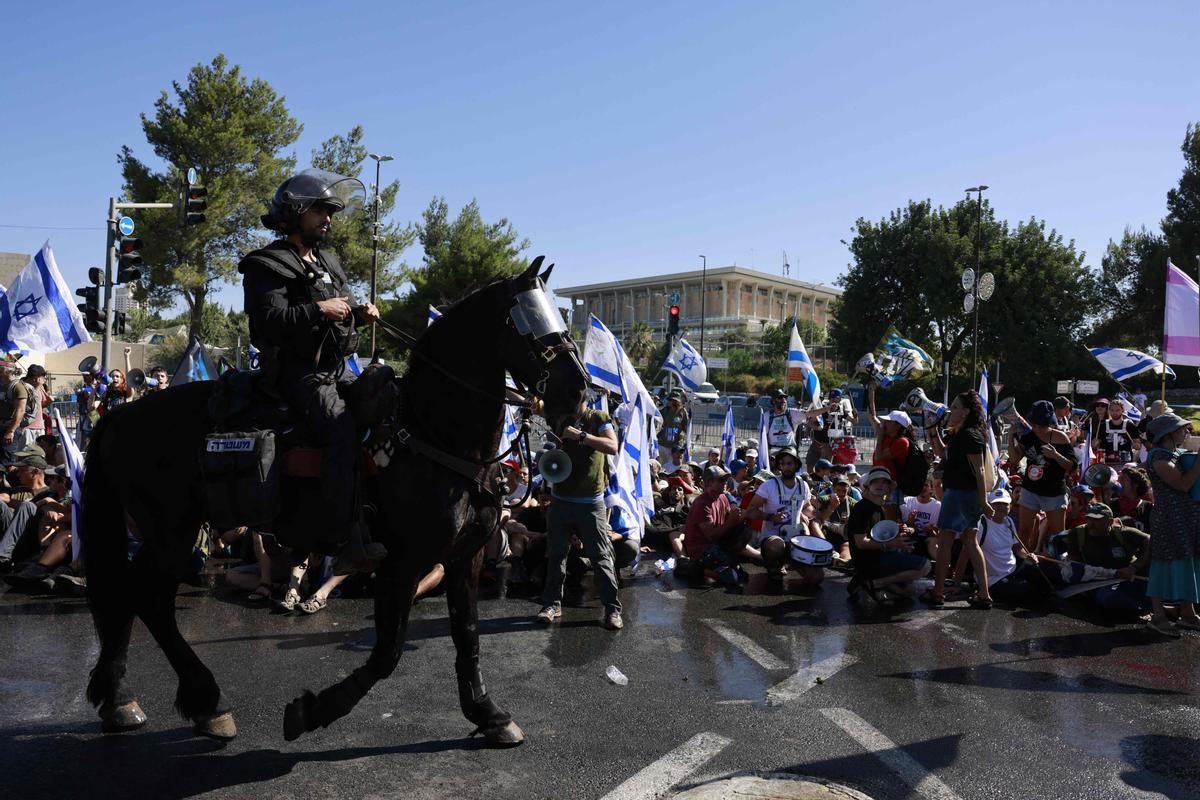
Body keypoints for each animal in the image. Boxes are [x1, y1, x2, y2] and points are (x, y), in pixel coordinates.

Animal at [82, 260, 588, 748]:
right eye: (526, 321)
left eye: (558, 315)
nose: (580, 392)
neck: (429, 434)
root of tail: (120, 415)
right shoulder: (403, 562)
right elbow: (387, 653)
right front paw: (313, 711)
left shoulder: (465, 556)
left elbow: (467, 636)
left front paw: (488, 714)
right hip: (171, 529)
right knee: (148, 597)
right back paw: (203, 702)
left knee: (131, 592)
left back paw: (122, 700)